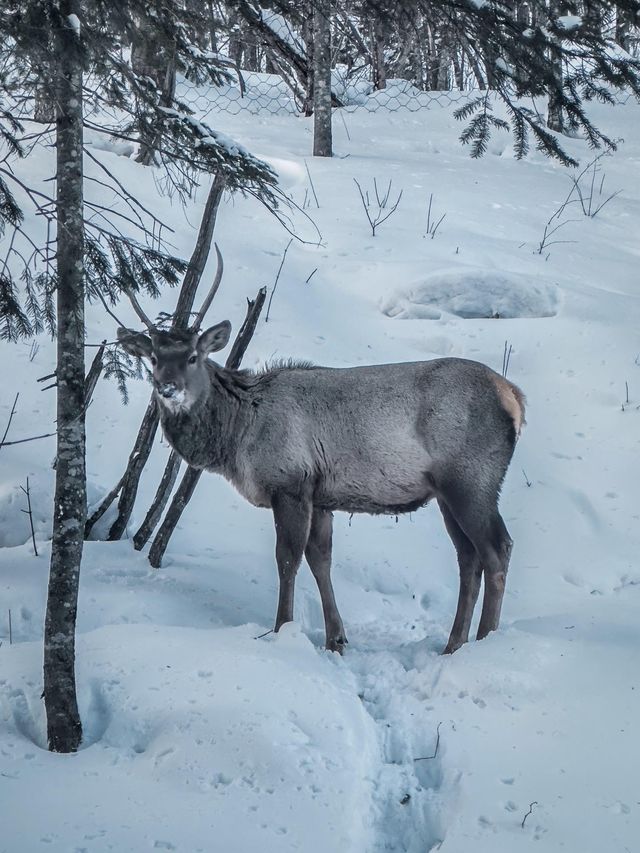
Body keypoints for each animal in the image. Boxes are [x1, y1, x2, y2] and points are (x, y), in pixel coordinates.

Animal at [119, 246, 524, 652]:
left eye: (192, 357)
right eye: (153, 358)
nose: (168, 389)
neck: (238, 434)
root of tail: (514, 397)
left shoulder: (290, 484)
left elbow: (287, 560)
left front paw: (282, 628)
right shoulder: (322, 496)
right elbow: (320, 560)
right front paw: (336, 639)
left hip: (471, 479)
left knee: (496, 549)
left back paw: (486, 640)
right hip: (446, 492)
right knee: (468, 557)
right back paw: (454, 644)